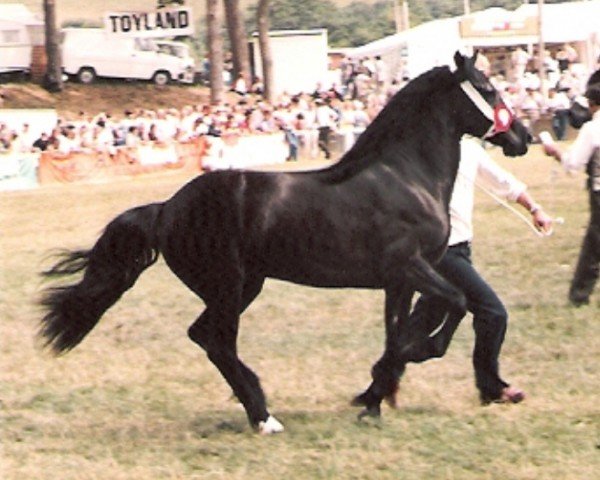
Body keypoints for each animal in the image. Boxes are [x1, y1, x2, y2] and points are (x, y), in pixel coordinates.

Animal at [39, 52, 528, 436]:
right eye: (487, 88)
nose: (522, 137)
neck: (406, 177)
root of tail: (167, 208)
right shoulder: (411, 266)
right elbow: (456, 303)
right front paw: (411, 361)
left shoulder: (401, 281)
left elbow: (396, 332)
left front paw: (374, 398)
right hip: (228, 286)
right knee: (217, 342)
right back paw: (264, 417)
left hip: (244, 286)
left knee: (205, 336)